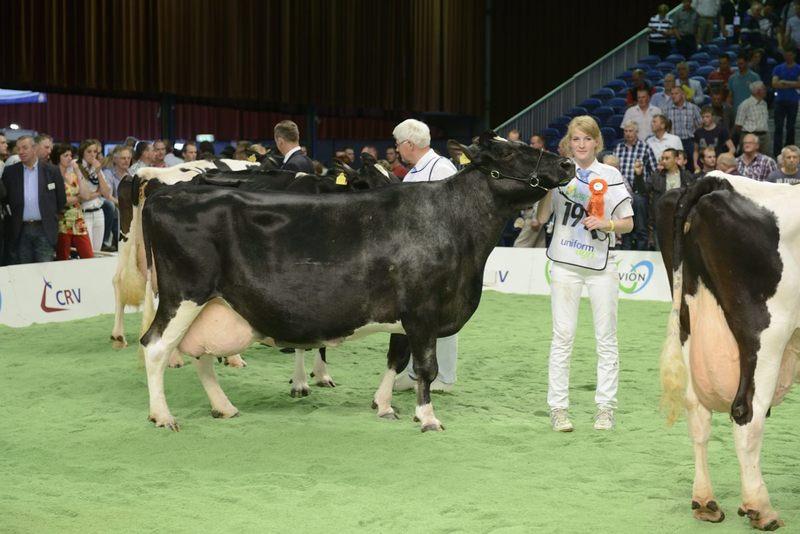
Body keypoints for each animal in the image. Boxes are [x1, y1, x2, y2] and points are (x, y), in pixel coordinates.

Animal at [139, 132, 576, 434]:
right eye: (508, 152)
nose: (568, 164)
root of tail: (169, 196)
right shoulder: (423, 311)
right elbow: (427, 367)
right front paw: (427, 418)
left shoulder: (406, 317)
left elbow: (396, 359)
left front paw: (384, 405)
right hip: (185, 294)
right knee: (156, 346)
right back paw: (163, 415)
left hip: (212, 302)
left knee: (199, 352)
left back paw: (223, 406)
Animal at [660, 172, 796, 532]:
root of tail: (716, 179)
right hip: (765, 331)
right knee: (747, 413)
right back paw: (760, 508)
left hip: (688, 319)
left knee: (697, 411)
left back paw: (705, 502)